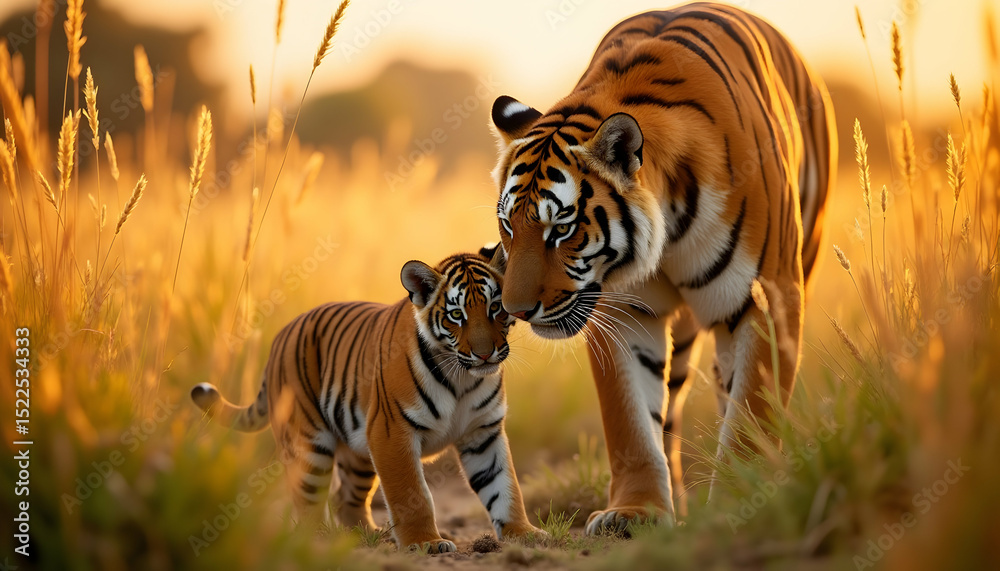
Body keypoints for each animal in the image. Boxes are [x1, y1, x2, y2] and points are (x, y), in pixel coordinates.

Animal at [190, 250, 543, 553]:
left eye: (495, 308)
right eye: (456, 315)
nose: (485, 354)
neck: (463, 379)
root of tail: (280, 335)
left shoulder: (483, 433)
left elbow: (504, 486)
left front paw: (523, 533)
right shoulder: (393, 433)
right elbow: (412, 494)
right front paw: (426, 543)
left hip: (359, 451)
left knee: (345, 498)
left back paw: (369, 536)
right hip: (309, 446)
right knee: (308, 501)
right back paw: (316, 540)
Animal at [487, 2, 836, 533]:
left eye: (561, 230)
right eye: (508, 225)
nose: (517, 311)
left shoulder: (767, 296)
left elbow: (751, 412)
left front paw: (742, 503)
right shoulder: (624, 311)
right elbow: (631, 422)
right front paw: (637, 511)